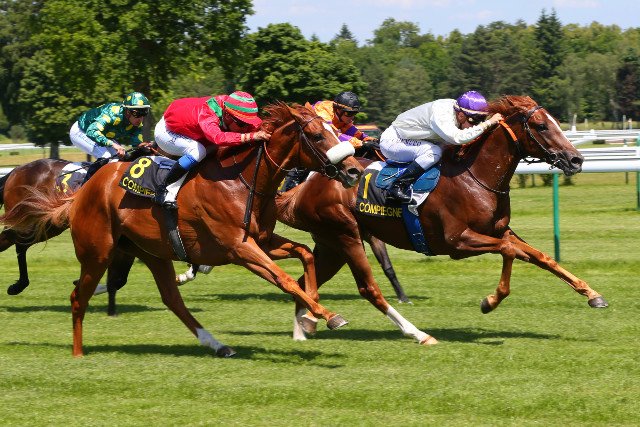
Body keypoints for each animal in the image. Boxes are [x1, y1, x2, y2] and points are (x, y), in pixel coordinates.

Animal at [1, 102, 363, 357]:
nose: (355, 171)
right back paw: (77, 351)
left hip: (151, 251)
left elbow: (305, 253)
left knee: (171, 299)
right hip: (97, 251)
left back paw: (217, 344)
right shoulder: (238, 248)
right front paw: (328, 315)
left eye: (336, 131)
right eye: (317, 136)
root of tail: (84, 190)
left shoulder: (261, 240)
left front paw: (309, 316)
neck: (243, 180)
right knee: (77, 295)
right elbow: (284, 279)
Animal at [275, 95, 608, 344]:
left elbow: (540, 256)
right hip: (345, 235)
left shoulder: (501, 230)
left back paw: (304, 327)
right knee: (367, 288)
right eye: (541, 126)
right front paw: (490, 301)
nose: (576, 159)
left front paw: (593, 295)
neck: (474, 178)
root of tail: (306, 187)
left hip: (330, 245)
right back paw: (416, 333)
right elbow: (510, 252)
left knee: (304, 280)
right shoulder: (457, 242)